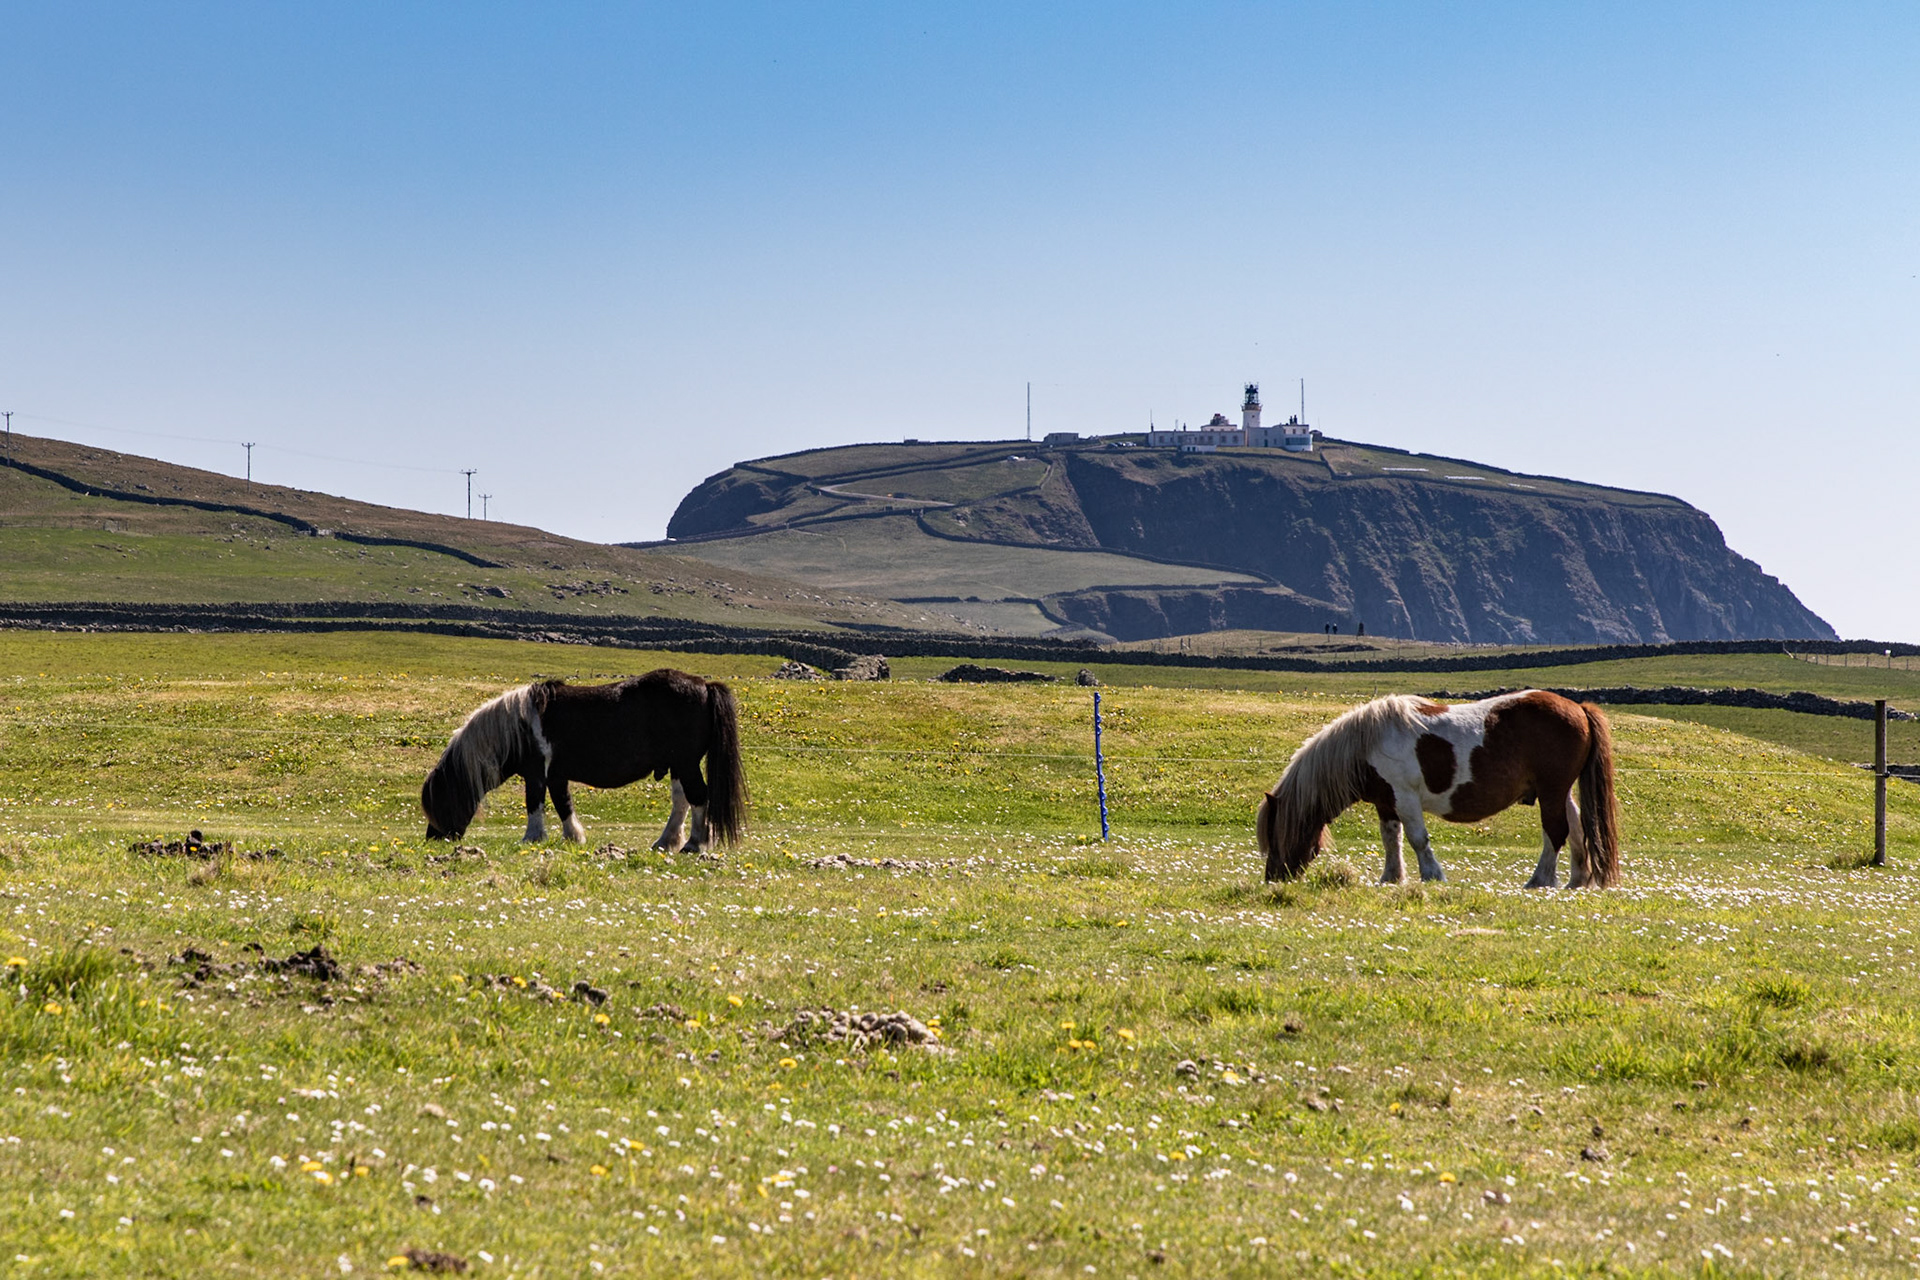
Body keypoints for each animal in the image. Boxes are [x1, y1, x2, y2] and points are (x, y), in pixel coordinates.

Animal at [420, 669, 747, 852]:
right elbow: (563, 805)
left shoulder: (537, 774)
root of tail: (705, 686)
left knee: (698, 798)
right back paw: (665, 843)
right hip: (679, 766)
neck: (520, 726)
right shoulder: (556, 775)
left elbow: (534, 804)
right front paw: (573, 838)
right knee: (682, 801)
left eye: (442, 800)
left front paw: (531, 839)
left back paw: (695, 844)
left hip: (686, 763)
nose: (433, 839)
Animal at [1255, 690, 1621, 888]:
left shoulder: (1405, 797)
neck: (1366, 745)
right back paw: (1576, 880)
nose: (1273, 878)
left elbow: (1418, 839)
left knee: (1555, 832)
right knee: (1576, 829)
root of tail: (1578, 708)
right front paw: (1391, 878)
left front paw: (1432, 875)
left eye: (1275, 835)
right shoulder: (1386, 803)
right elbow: (1391, 838)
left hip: (1551, 790)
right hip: (1559, 792)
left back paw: (1539, 880)